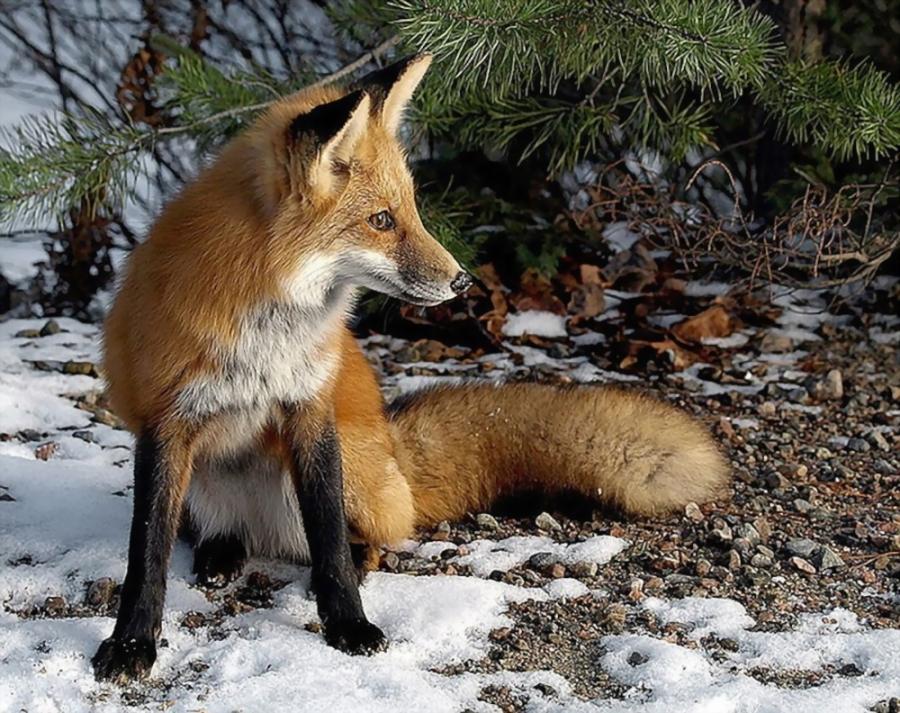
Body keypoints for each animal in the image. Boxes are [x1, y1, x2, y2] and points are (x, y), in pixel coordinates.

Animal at [95, 53, 729, 684]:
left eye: (411, 211)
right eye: (380, 220)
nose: (463, 281)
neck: (266, 334)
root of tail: (394, 444)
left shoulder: (310, 408)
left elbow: (327, 540)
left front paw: (349, 625)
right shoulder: (165, 423)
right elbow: (147, 552)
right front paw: (131, 644)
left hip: (350, 468)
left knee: (365, 537)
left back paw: (351, 557)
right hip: (202, 479)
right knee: (211, 530)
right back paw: (220, 551)